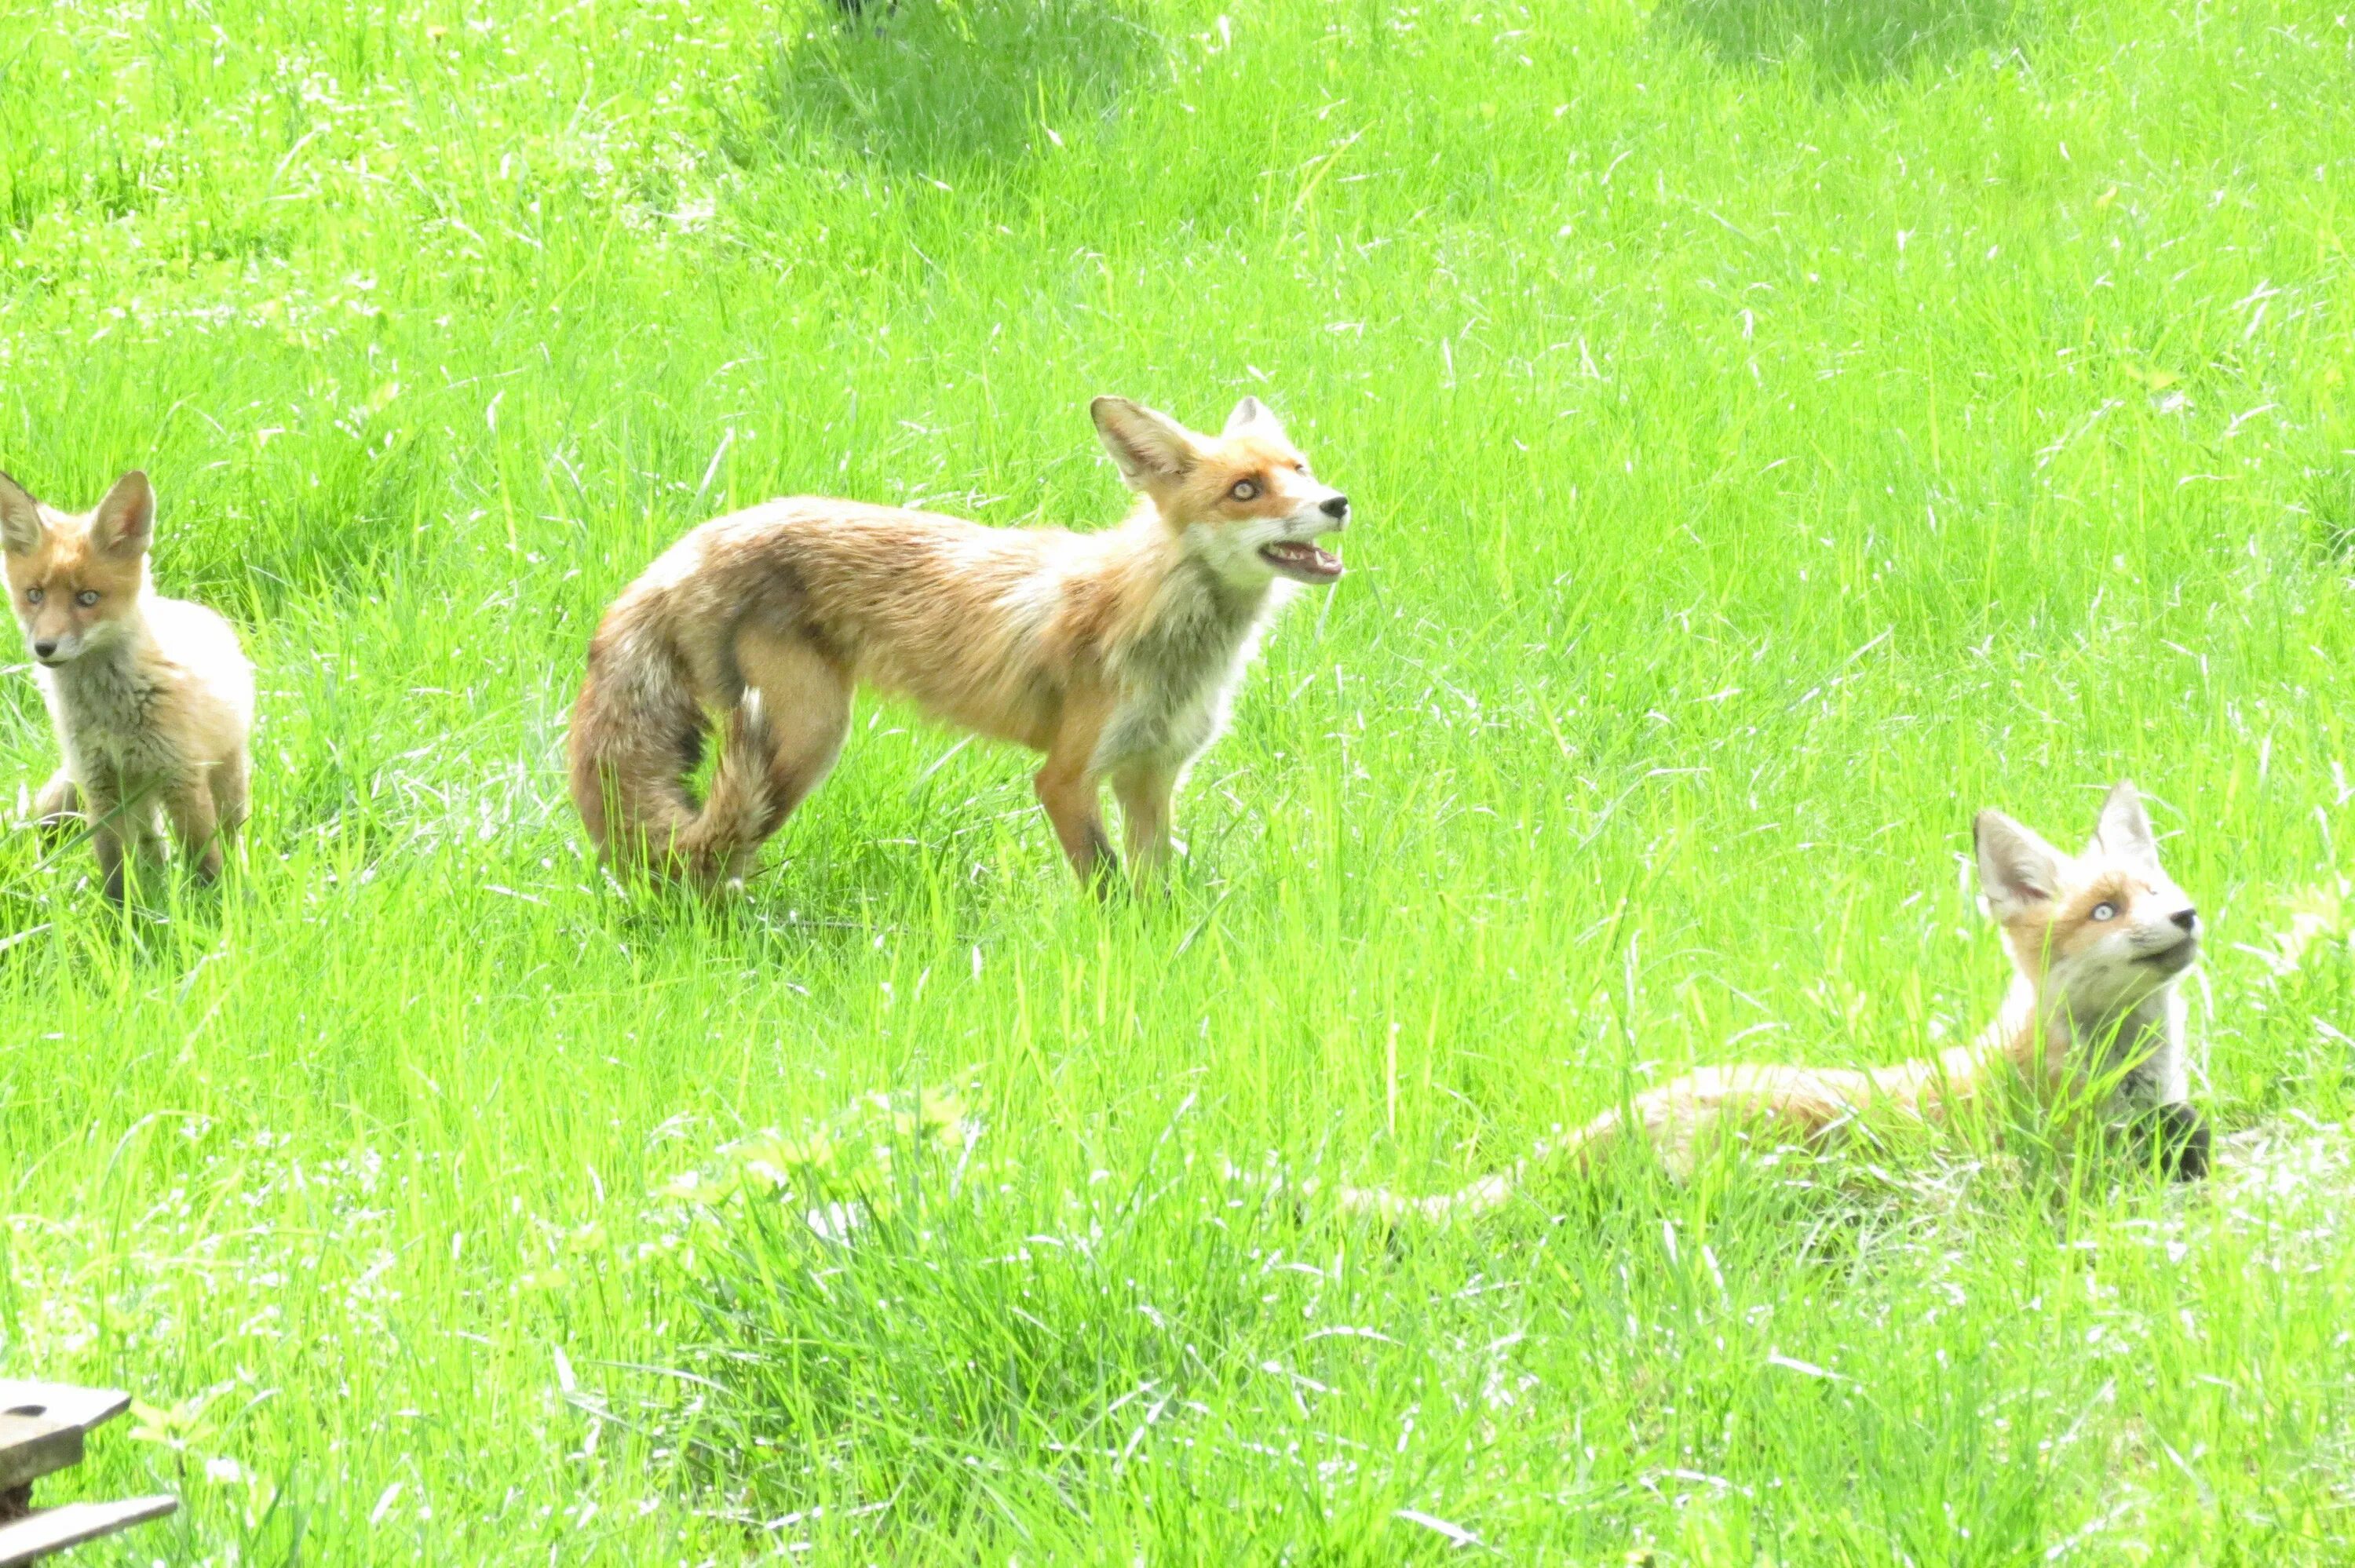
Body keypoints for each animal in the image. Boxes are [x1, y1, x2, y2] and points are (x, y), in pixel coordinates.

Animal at [0, 471, 255, 899]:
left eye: (88, 598)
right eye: (34, 595)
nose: (44, 648)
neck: (110, 712)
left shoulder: (182, 777)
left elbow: (203, 857)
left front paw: (211, 906)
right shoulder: (98, 784)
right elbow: (114, 865)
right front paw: (123, 912)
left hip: (225, 777)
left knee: (229, 832)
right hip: (129, 793)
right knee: (152, 845)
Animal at [565, 391, 1366, 890]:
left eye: (1300, 469)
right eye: (1244, 491)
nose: (1337, 502)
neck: (1165, 625)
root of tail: (689, 546)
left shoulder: (1152, 773)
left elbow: (1155, 888)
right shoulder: (1066, 777)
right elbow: (1109, 890)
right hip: (805, 738)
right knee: (711, 856)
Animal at [1347, 786, 2204, 1215]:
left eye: (2160, 891)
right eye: (2104, 910)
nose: (2188, 916)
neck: (2127, 1078)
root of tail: (1620, 1113)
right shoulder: (2054, 1158)